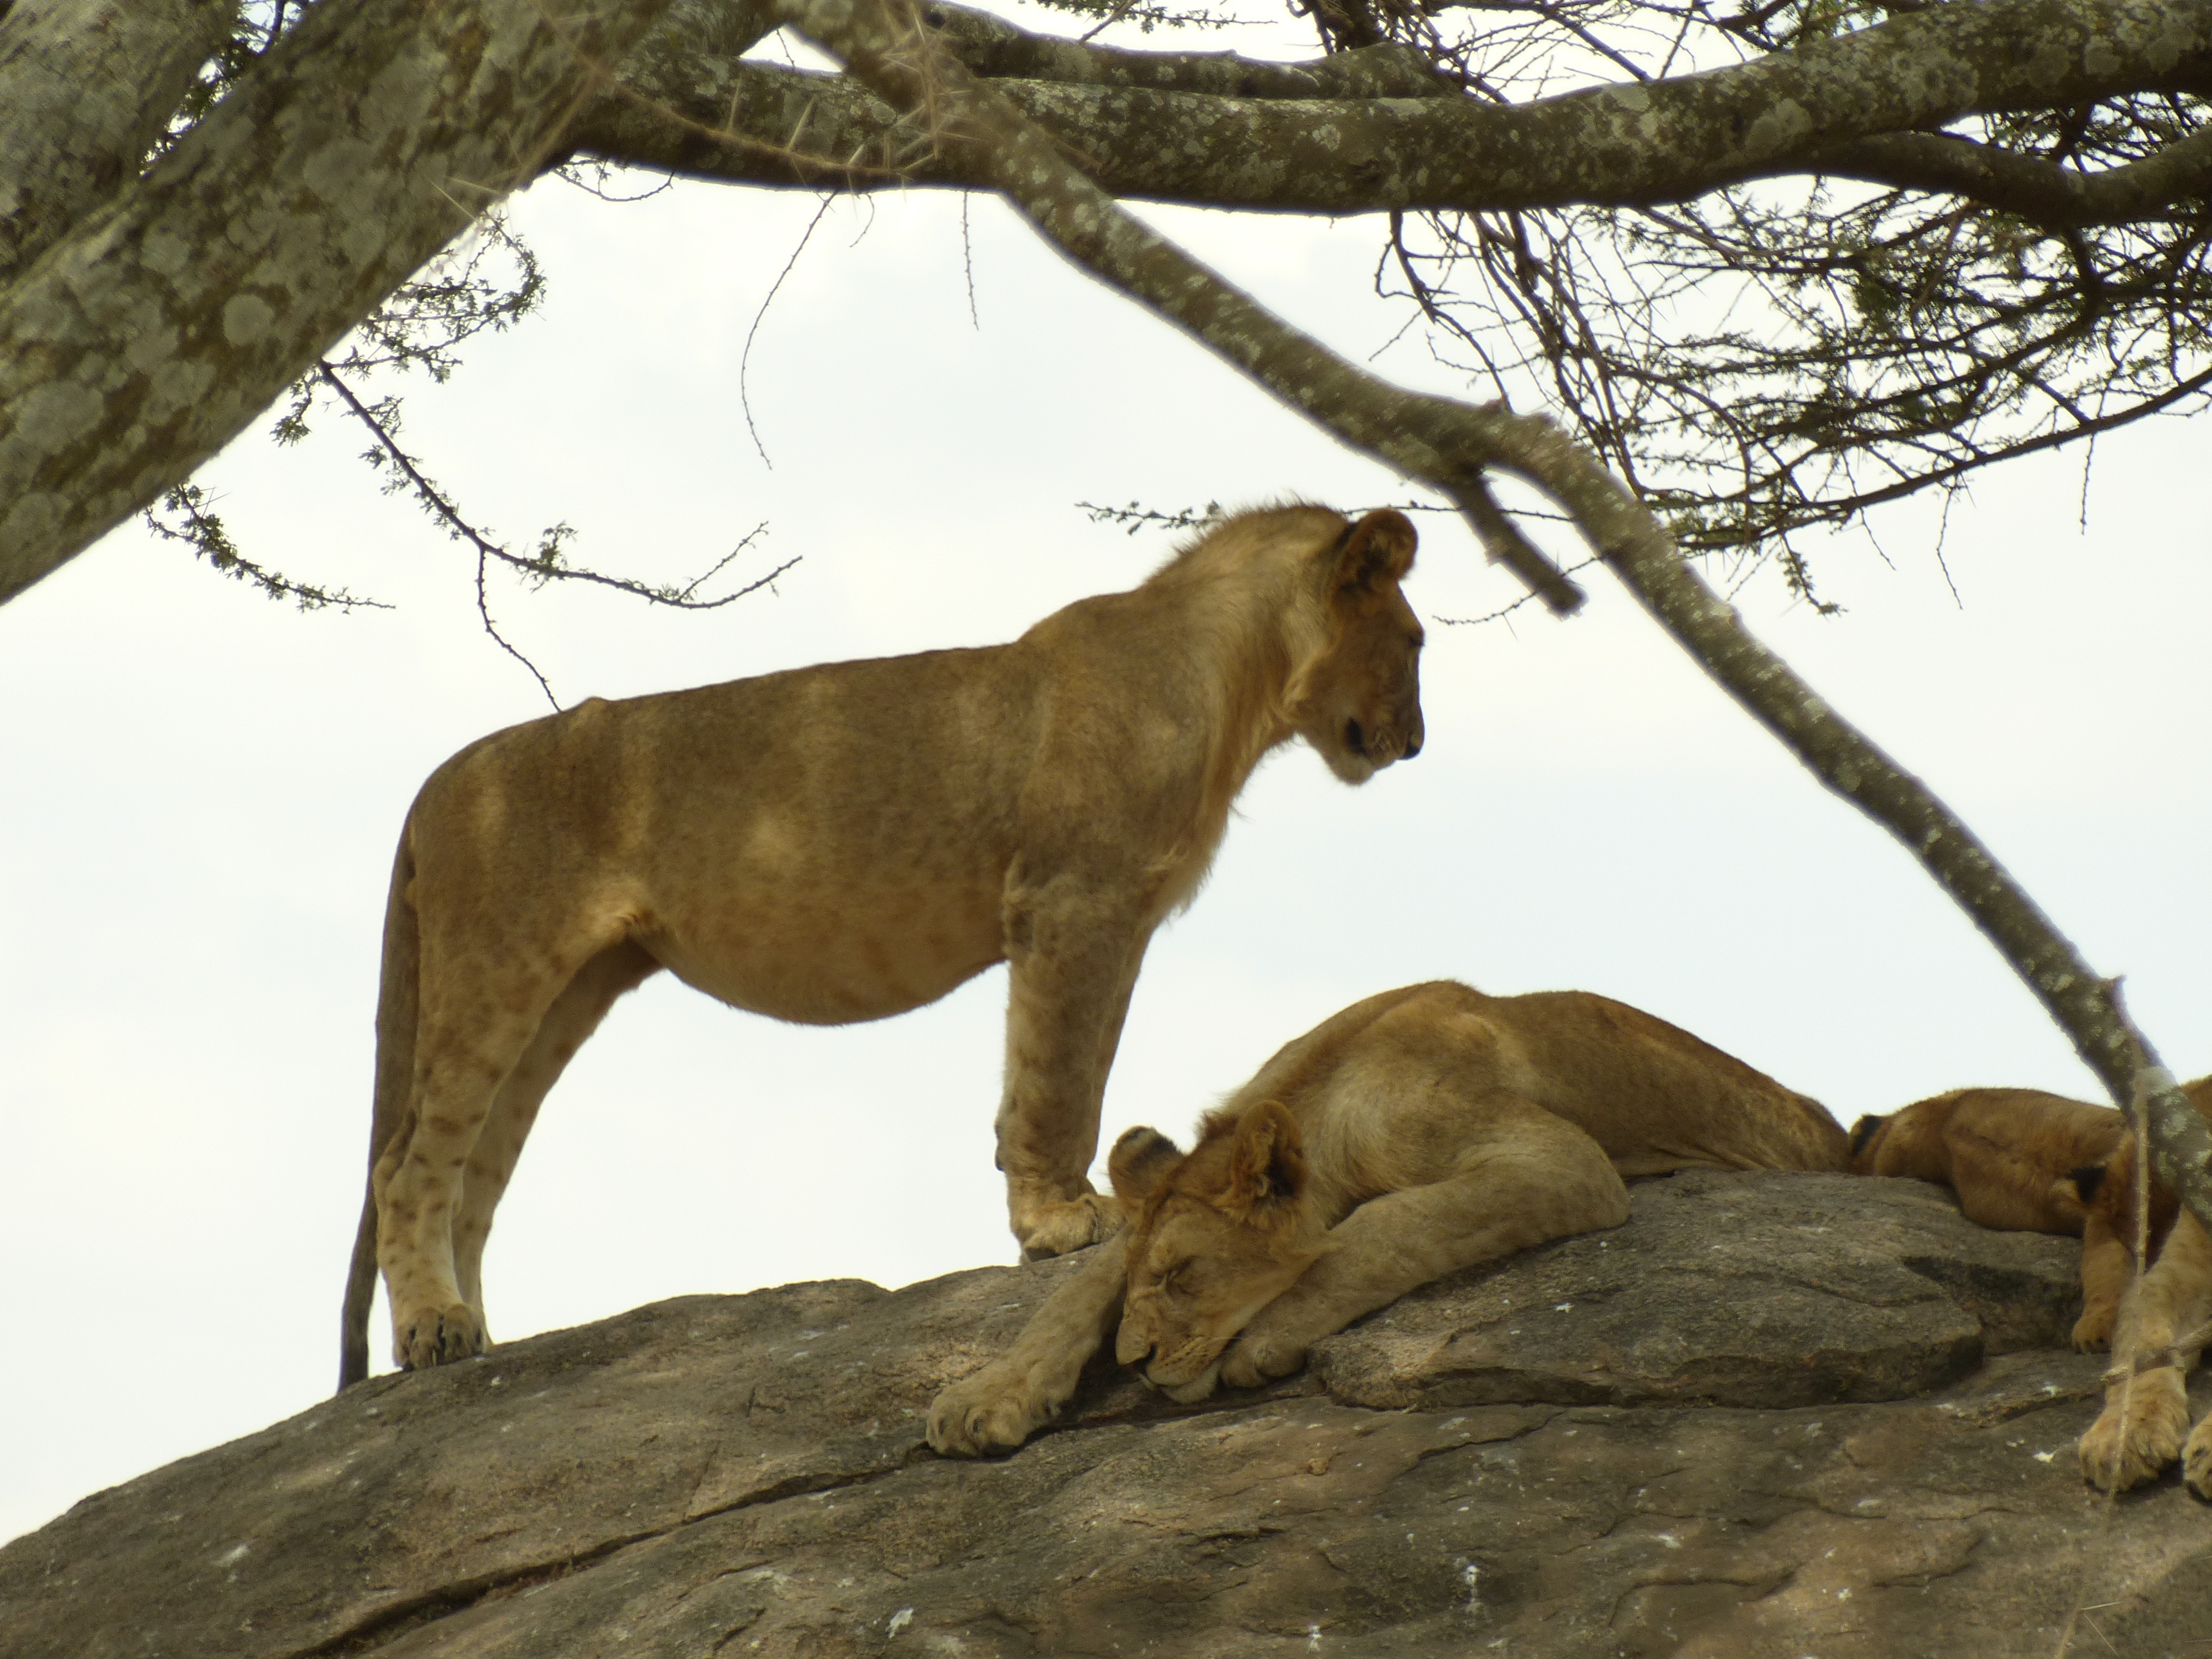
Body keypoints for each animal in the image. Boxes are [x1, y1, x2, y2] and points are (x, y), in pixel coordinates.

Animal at [338, 505, 1427, 1390]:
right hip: (497, 970)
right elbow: (1058, 1081)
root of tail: (438, 780)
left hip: (569, 991)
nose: (1415, 743)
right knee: (407, 1166)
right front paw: (1060, 1226)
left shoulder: (1114, 917)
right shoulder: (1072, 901)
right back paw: (434, 1333)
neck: (1233, 677)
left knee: (476, 1175)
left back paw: (480, 1338)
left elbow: (1069, 1073)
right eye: (1415, 640)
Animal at [927, 980, 1850, 1456]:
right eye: (1155, 1275)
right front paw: (984, 1399)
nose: (1137, 1362)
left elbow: (1383, 1229)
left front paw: (1270, 1338)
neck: (1329, 1087)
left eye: (1184, 1274)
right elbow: (1071, 1291)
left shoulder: (1559, 1161)